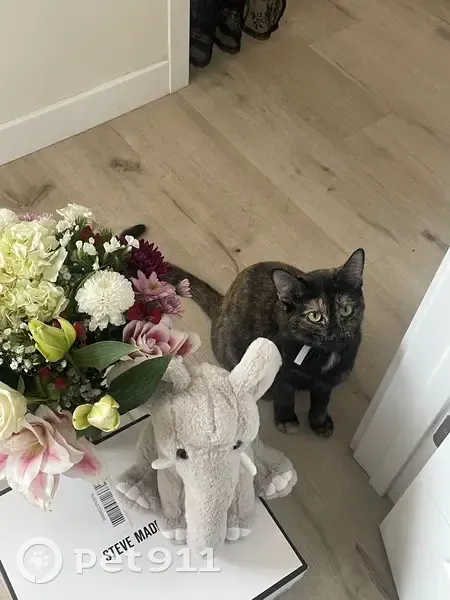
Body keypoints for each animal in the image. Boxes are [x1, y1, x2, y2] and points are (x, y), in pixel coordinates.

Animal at [165, 250, 365, 437]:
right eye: (314, 316)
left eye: (347, 310)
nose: (336, 334)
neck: (320, 355)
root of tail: (222, 303)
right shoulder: (282, 372)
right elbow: (285, 395)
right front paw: (286, 419)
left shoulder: (330, 378)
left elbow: (322, 401)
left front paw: (320, 422)